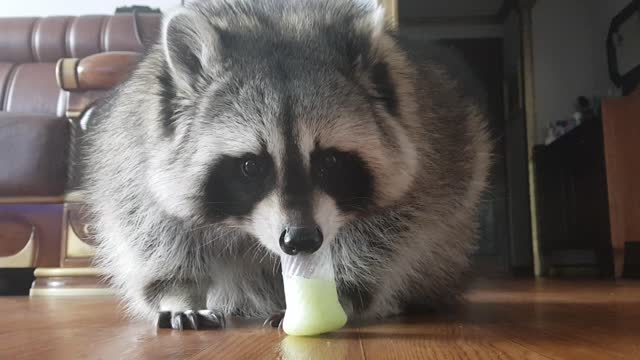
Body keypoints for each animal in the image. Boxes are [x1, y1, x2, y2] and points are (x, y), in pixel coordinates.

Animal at [84, 0, 490, 330]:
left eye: (329, 161)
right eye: (251, 166)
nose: (300, 239)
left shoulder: (427, 157)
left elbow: (391, 230)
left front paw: (344, 288)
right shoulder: (135, 158)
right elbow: (156, 231)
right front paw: (179, 292)